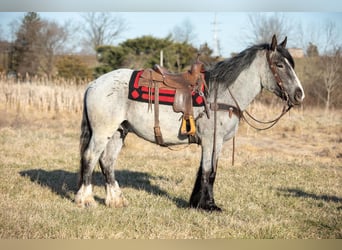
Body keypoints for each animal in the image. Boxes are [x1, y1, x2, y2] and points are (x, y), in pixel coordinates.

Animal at [75, 35, 304, 211]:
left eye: (292, 64)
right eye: (279, 65)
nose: (299, 94)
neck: (220, 95)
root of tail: (94, 84)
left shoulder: (214, 143)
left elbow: (205, 170)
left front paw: (197, 202)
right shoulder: (213, 141)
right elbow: (209, 172)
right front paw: (208, 206)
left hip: (118, 132)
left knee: (107, 162)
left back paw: (115, 200)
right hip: (102, 132)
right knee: (90, 158)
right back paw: (86, 200)